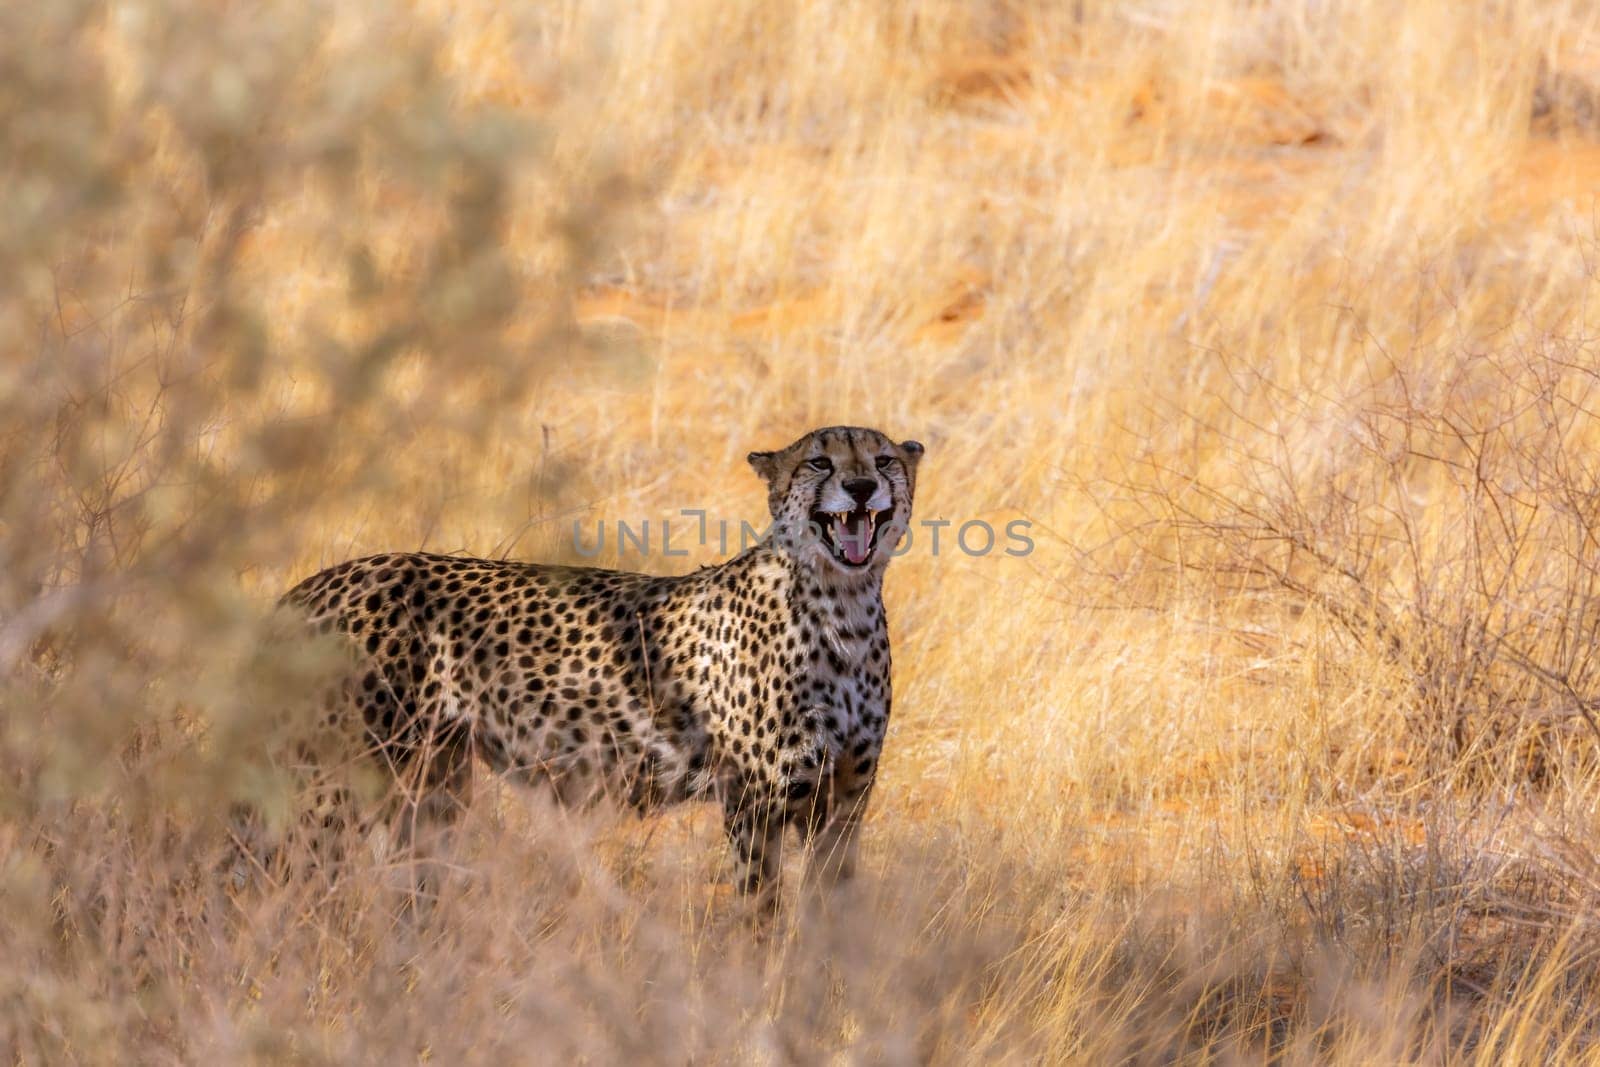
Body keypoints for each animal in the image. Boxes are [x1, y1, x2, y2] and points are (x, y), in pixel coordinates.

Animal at [281, 425, 921, 902]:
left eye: (883, 459)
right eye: (819, 462)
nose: (861, 486)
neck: (843, 603)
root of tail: (319, 582)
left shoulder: (846, 799)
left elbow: (830, 912)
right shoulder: (754, 798)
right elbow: (761, 911)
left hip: (430, 782)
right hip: (339, 781)